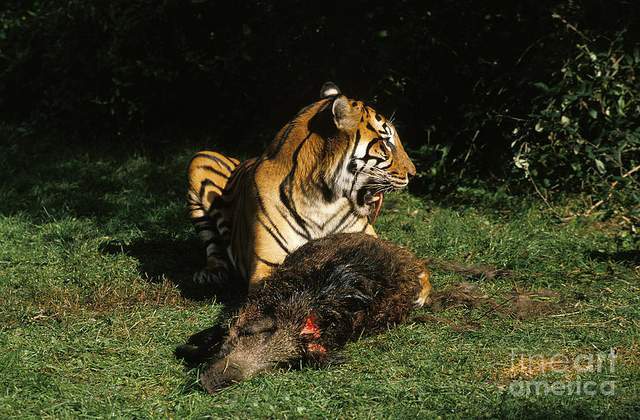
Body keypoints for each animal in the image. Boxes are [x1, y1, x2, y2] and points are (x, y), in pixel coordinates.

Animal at [186, 82, 416, 292]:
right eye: (387, 142)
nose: (413, 173)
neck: (324, 200)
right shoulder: (266, 267)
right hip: (199, 159)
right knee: (212, 245)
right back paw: (212, 273)